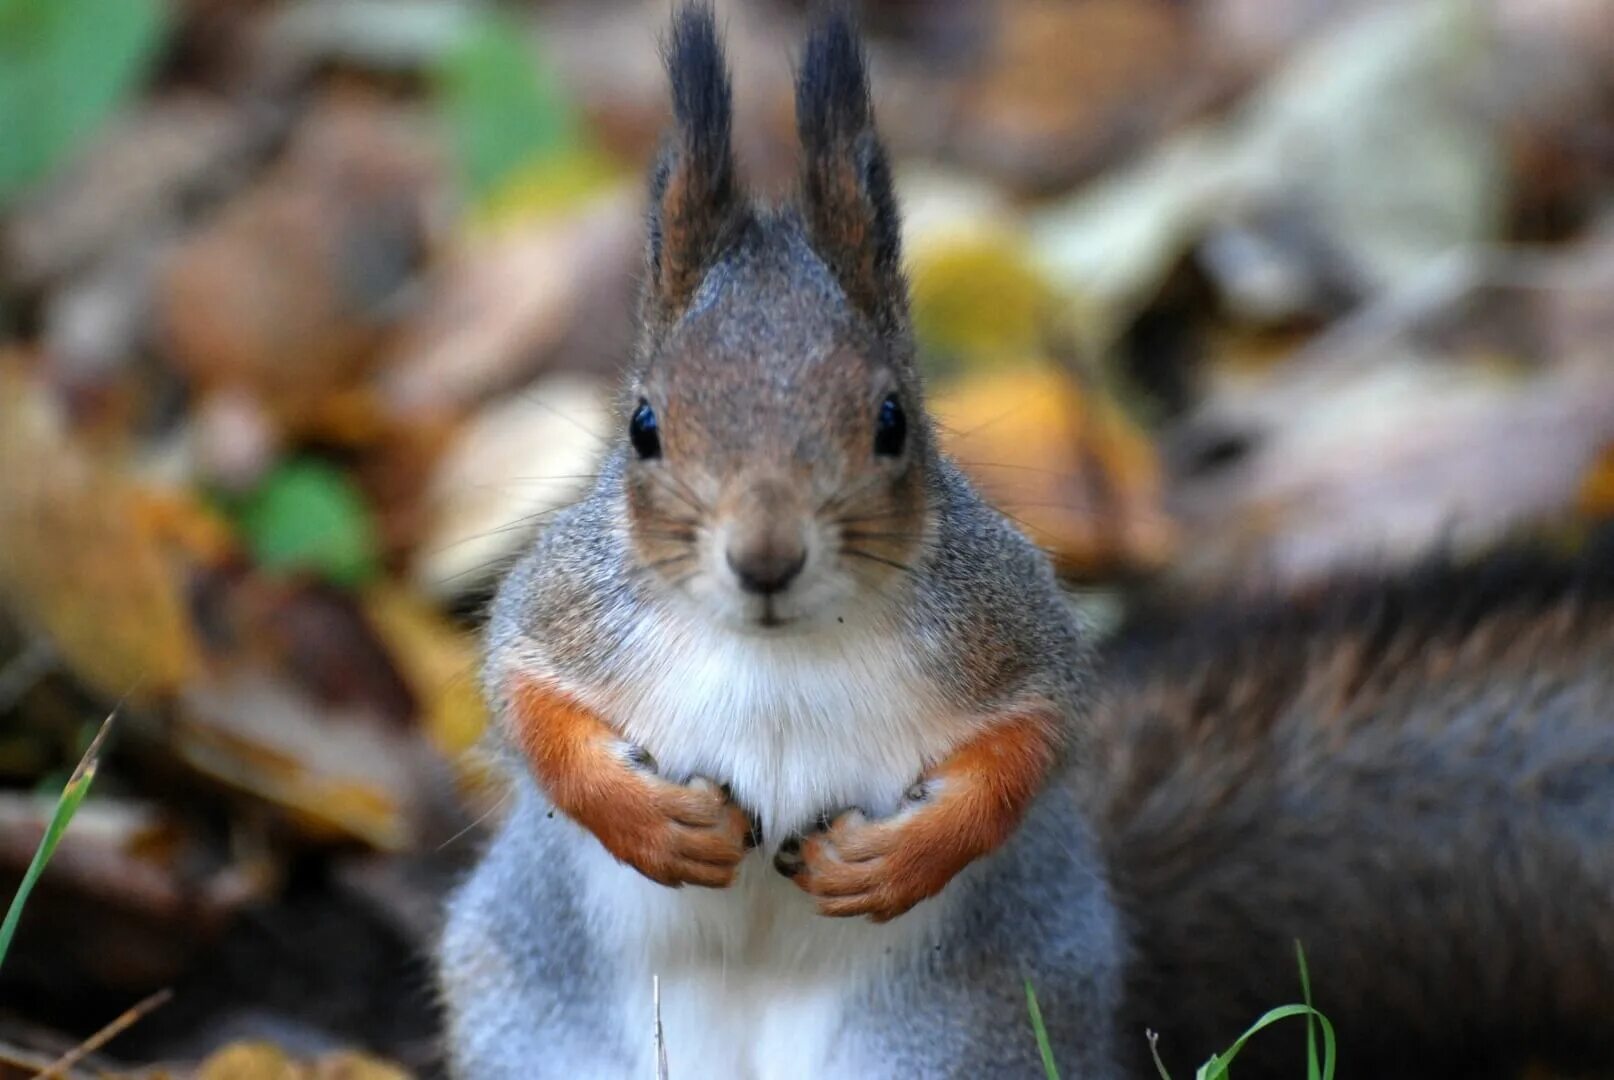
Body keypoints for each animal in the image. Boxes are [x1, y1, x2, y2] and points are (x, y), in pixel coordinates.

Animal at [432, 4, 1614, 1071]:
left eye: (893, 419)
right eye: (644, 426)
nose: (765, 559)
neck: (779, 649)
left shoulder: (1002, 622)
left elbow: (1035, 738)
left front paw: (902, 862)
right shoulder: (573, 605)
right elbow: (522, 698)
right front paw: (646, 822)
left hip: (950, 1044)